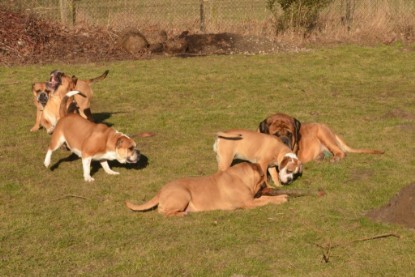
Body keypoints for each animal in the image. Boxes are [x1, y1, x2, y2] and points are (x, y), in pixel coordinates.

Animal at [126, 162, 290, 216]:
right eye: (263, 182)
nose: (268, 187)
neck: (241, 177)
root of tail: (161, 190)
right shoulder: (249, 203)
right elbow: (266, 200)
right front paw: (280, 198)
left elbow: (265, 198)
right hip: (183, 193)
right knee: (164, 212)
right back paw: (182, 214)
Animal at [258, 112, 386, 164]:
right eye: (276, 134)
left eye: (289, 134)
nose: (284, 140)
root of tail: (333, 132)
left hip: (323, 133)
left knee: (341, 152)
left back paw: (335, 158)